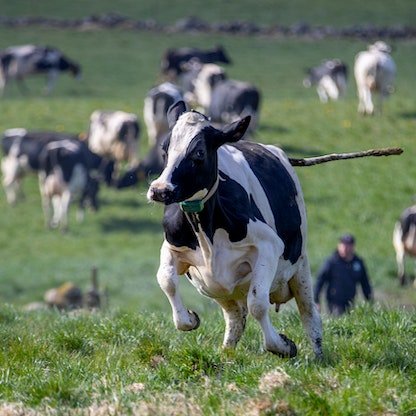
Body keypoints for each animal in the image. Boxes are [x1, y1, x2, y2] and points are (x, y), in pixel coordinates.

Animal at [146, 102, 322, 360]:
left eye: (199, 152)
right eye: (164, 148)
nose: (159, 190)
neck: (205, 231)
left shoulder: (269, 246)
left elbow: (258, 303)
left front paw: (282, 345)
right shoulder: (171, 246)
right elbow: (166, 281)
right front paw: (189, 318)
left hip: (300, 266)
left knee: (309, 313)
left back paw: (319, 355)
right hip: (217, 289)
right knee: (235, 317)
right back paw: (226, 354)